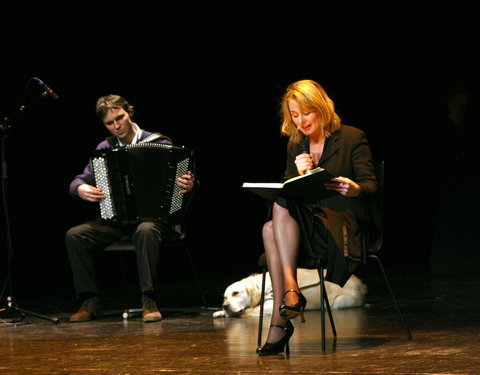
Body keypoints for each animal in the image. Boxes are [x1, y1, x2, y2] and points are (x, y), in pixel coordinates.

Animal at [212, 268, 366, 318]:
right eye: (225, 297)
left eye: (236, 293)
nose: (225, 305)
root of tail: (361, 283)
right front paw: (221, 312)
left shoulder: (272, 306)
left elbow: (252, 310)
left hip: (338, 302)